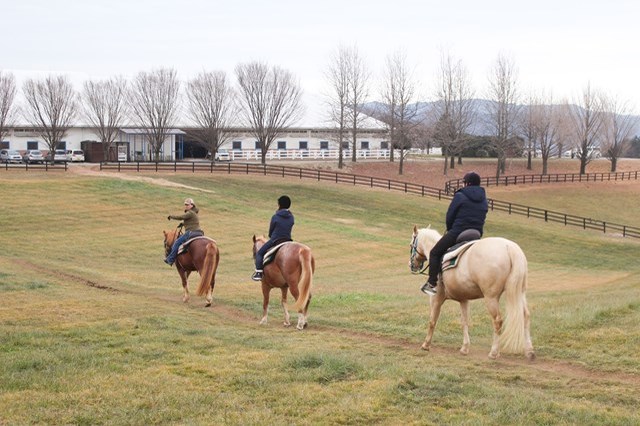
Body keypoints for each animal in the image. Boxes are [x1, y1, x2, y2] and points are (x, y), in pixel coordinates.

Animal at [410, 225, 536, 362]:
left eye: (411, 244)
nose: (412, 265)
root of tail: (510, 247)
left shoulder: (436, 299)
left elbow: (432, 321)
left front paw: (426, 345)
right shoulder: (464, 300)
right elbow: (464, 322)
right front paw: (465, 348)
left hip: (491, 298)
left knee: (497, 321)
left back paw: (494, 352)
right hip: (520, 293)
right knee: (526, 317)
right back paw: (529, 351)